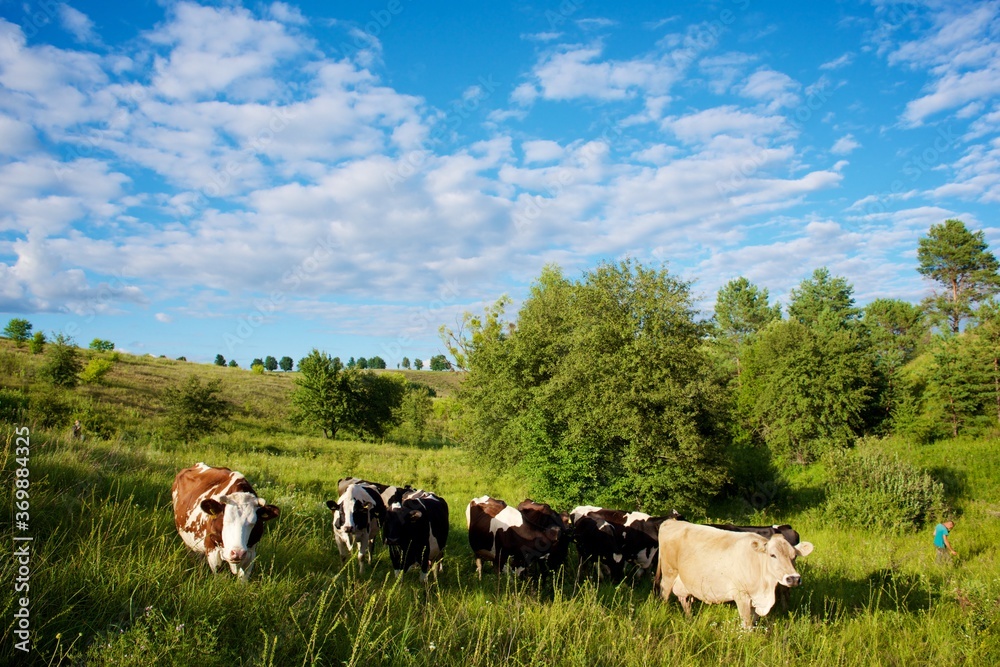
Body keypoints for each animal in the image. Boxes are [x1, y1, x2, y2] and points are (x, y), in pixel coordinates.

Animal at [654, 519, 814, 629]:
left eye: (794, 556)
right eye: (772, 555)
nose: (793, 579)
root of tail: (672, 521)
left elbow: (754, 621)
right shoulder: (741, 595)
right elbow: (747, 624)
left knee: (684, 598)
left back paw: (690, 619)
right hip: (669, 572)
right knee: (664, 594)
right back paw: (663, 612)